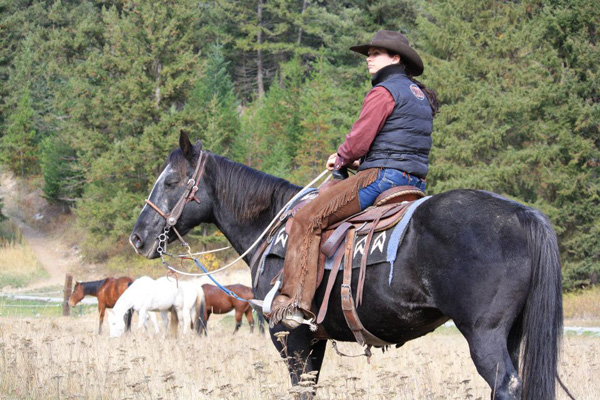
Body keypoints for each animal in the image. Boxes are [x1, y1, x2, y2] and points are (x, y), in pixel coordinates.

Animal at [130, 132, 564, 400]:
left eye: (170, 182)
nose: (138, 236)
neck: (274, 223)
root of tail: (522, 214)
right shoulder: (314, 340)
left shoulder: (290, 337)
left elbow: (301, 389)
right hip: (510, 333)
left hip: (484, 335)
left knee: (505, 384)